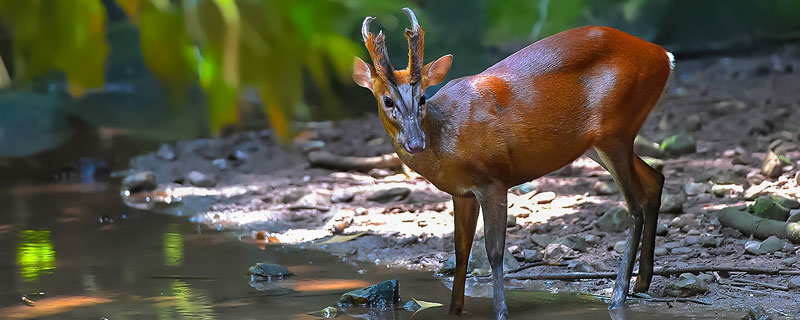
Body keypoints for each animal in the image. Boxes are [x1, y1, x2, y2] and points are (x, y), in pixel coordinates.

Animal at [354, 8, 672, 320]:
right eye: (387, 100)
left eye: (422, 98)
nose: (415, 142)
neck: (445, 135)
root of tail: (664, 56)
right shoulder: (462, 193)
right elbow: (461, 251)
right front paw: (455, 310)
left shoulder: (494, 179)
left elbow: (494, 251)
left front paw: (501, 311)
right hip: (599, 141)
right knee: (655, 179)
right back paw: (642, 283)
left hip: (615, 128)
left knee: (635, 207)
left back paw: (618, 295)